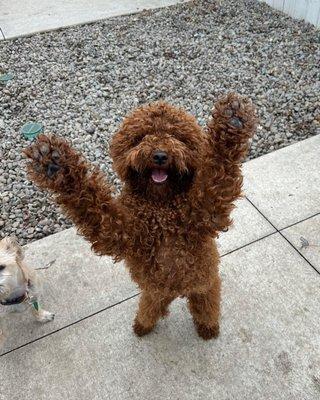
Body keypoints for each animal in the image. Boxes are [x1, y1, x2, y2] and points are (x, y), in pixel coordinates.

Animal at [23, 94, 256, 340]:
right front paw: (53, 163)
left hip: (205, 287)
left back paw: (207, 328)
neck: (161, 205)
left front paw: (233, 119)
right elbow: (91, 201)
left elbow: (217, 172)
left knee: (205, 306)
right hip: (153, 292)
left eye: (177, 137)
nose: (160, 155)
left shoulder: (206, 209)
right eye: (141, 137)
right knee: (150, 307)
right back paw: (143, 324)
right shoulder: (119, 229)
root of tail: (175, 292)